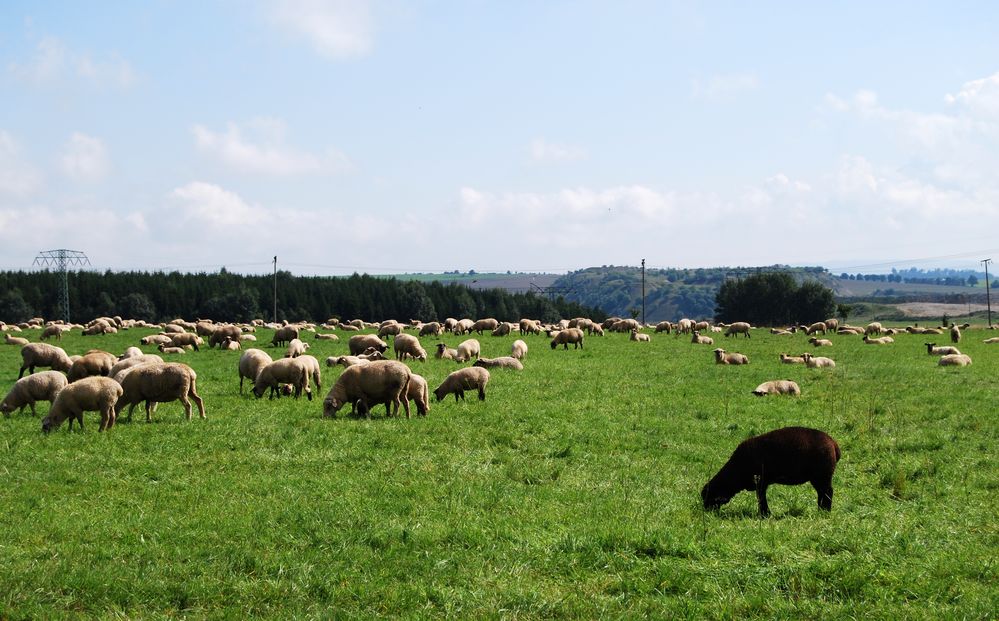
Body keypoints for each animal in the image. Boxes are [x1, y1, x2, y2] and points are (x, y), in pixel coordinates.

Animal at [704, 426, 844, 520]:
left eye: (708, 498)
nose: (705, 512)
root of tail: (833, 444)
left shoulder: (760, 481)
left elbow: (761, 498)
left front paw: (764, 515)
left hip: (822, 475)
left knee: (827, 492)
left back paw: (825, 512)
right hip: (819, 477)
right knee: (822, 493)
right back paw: (820, 510)